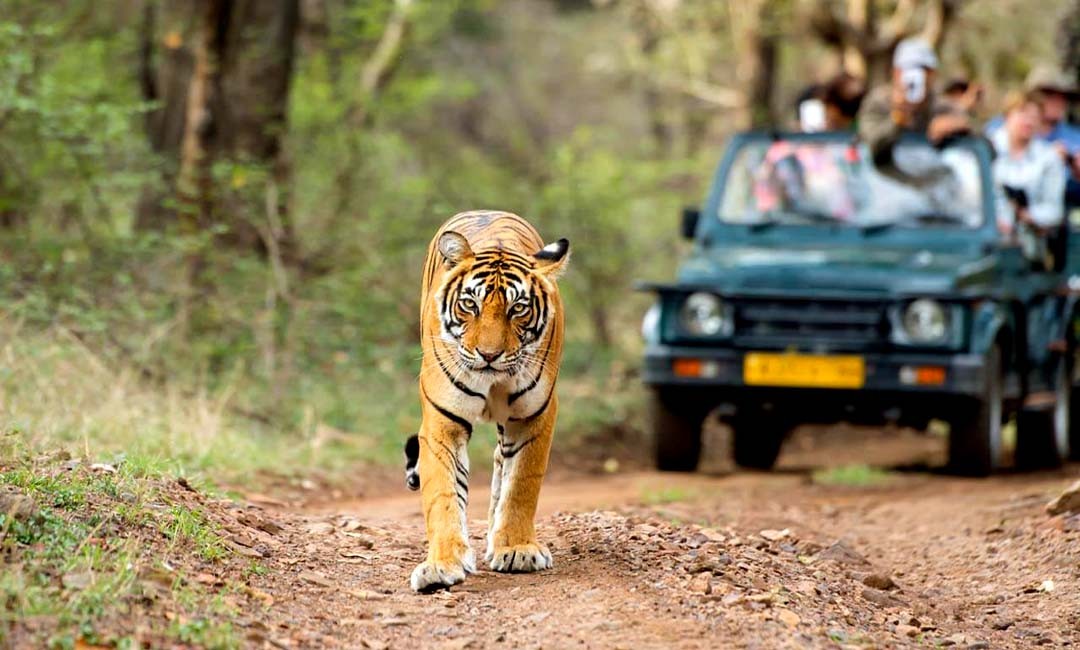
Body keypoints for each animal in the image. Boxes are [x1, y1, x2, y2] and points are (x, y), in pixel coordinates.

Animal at [409, 210, 569, 593]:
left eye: (518, 308)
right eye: (470, 304)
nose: (489, 355)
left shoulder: (534, 417)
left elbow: (522, 484)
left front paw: (517, 549)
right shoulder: (442, 422)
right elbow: (443, 494)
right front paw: (442, 565)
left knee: (501, 464)